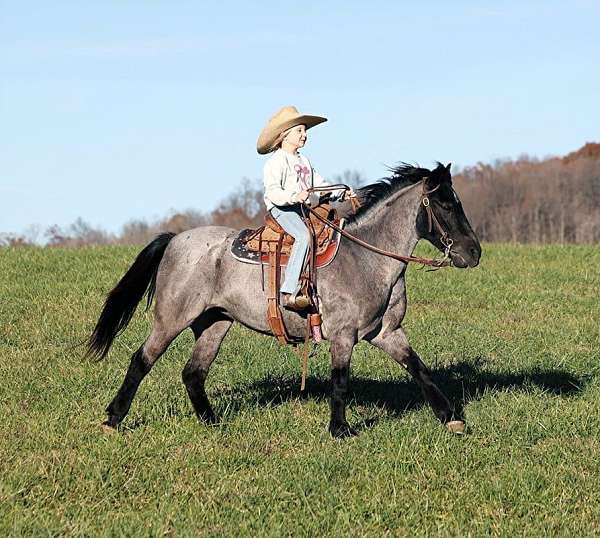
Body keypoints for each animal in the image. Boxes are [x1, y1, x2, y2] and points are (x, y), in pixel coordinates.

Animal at [88, 162, 482, 436]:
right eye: (445, 206)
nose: (474, 253)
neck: (367, 258)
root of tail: (174, 240)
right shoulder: (343, 335)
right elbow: (340, 380)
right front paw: (340, 430)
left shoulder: (387, 332)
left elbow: (419, 368)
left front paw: (451, 418)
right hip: (172, 318)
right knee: (142, 360)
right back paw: (113, 419)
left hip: (215, 322)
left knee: (194, 372)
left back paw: (213, 422)